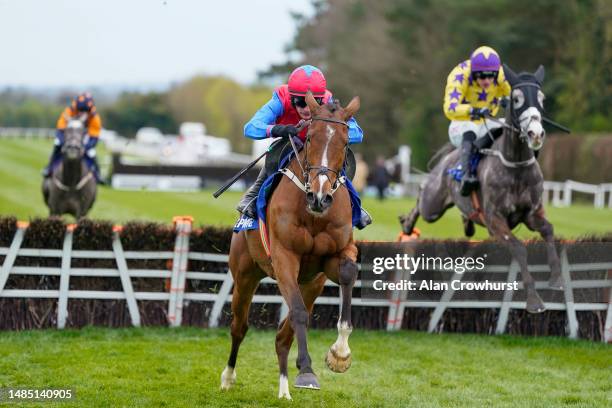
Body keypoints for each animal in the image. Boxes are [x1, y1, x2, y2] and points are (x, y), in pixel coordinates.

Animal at [222, 91, 360, 398]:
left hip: (312, 283)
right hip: (246, 274)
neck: (313, 213)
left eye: (345, 142)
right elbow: (296, 312)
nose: (320, 197)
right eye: (310, 139)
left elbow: (347, 273)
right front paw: (307, 369)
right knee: (240, 326)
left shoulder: (336, 255)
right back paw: (228, 376)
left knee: (283, 335)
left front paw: (340, 354)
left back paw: (285, 386)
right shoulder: (284, 257)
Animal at [400, 63, 560, 312]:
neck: (514, 166)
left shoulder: (531, 213)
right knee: (421, 197)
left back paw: (467, 221)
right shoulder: (495, 220)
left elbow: (549, 230)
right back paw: (407, 224)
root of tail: (449, 158)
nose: (536, 133)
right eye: (516, 99)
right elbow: (519, 248)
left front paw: (556, 279)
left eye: (542, 98)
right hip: (432, 206)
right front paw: (534, 300)